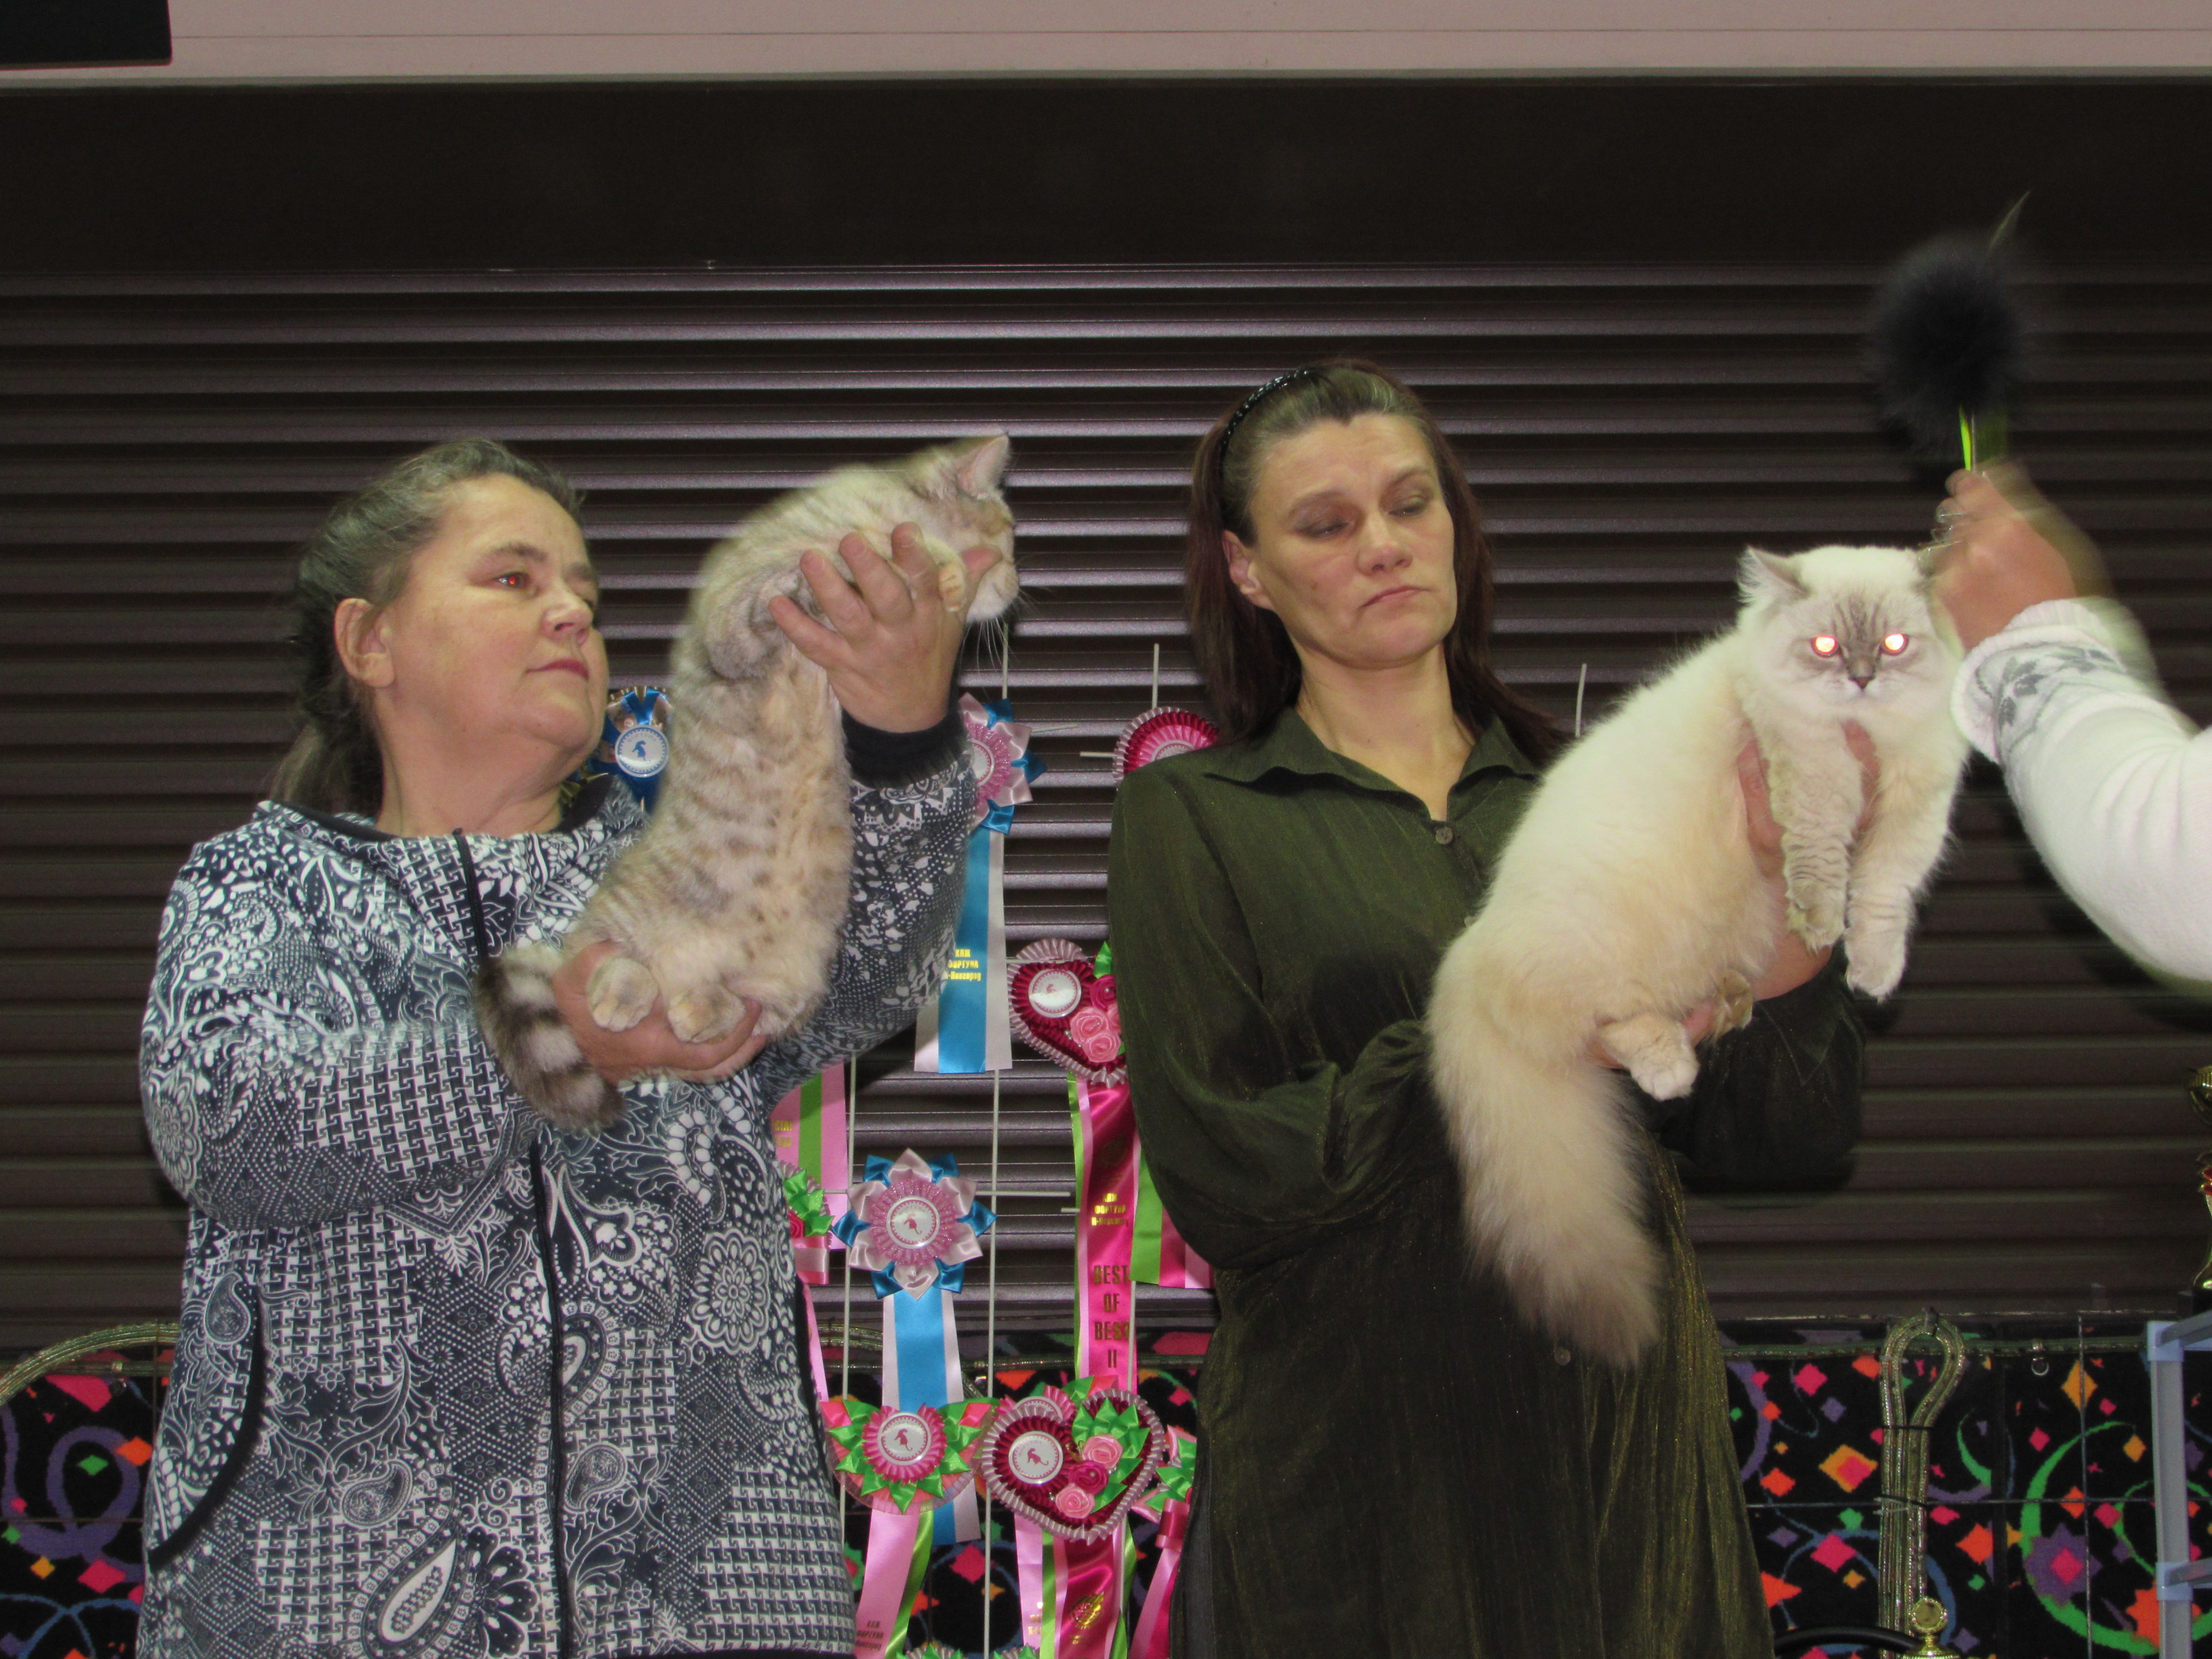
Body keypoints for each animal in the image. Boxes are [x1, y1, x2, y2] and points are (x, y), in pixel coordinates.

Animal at [476, 435, 1019, 1131]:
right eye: (1007, 537)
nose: (1015, 585)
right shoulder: (738, 613)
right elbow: (802, 574)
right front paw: (920, 561)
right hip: (623, 917)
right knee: (600, 955)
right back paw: (623, 990)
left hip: (790, 983)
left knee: (735, 1007)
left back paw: (702, 1007)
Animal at [1427, 544, 1969, 1366]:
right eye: (1824, 646)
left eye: (1895, 644)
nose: (1861, 677)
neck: (1864, 733)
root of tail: (1473, 945)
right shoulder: (1810, 776)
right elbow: (1822, 864)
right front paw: (1822, 927)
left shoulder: (1917, 802)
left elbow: (1884, 894)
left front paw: (1873, 970)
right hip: (1602, 954)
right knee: (1608, 1022)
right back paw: (1671, 1065)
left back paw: (1734, 1001)